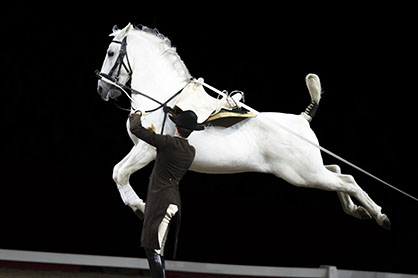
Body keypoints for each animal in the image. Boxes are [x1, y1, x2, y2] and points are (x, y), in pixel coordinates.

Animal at [96, 23, 390, 228]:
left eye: (110, 52)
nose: (101, 89)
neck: (166, 98)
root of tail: (302, 119)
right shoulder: (140, 148)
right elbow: (118, 171)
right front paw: (139, 206)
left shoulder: (147, 149)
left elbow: (118, 173)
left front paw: (139, 207)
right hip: (309, 170)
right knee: (339, 173)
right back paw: (358, 210)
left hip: (304, 174)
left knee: (347, 180)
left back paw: (379, 215)